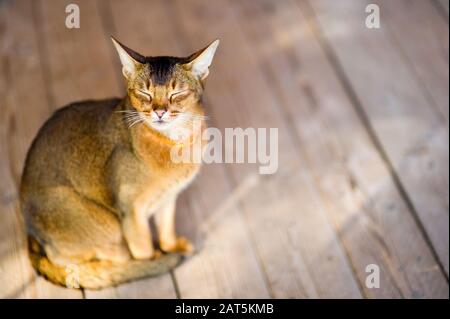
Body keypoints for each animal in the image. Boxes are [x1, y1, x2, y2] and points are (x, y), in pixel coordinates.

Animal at [19, 37, 220, 290]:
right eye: (144, 93)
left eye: (177, 94)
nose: (160, 112)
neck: (175, 143)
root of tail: (30, 234)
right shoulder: (131, 208)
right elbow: (142, 245)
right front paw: (153, 260)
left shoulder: (169, 196)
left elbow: (166, 225)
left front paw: (170, 245)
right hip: (105, 224)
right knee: (67, 257)